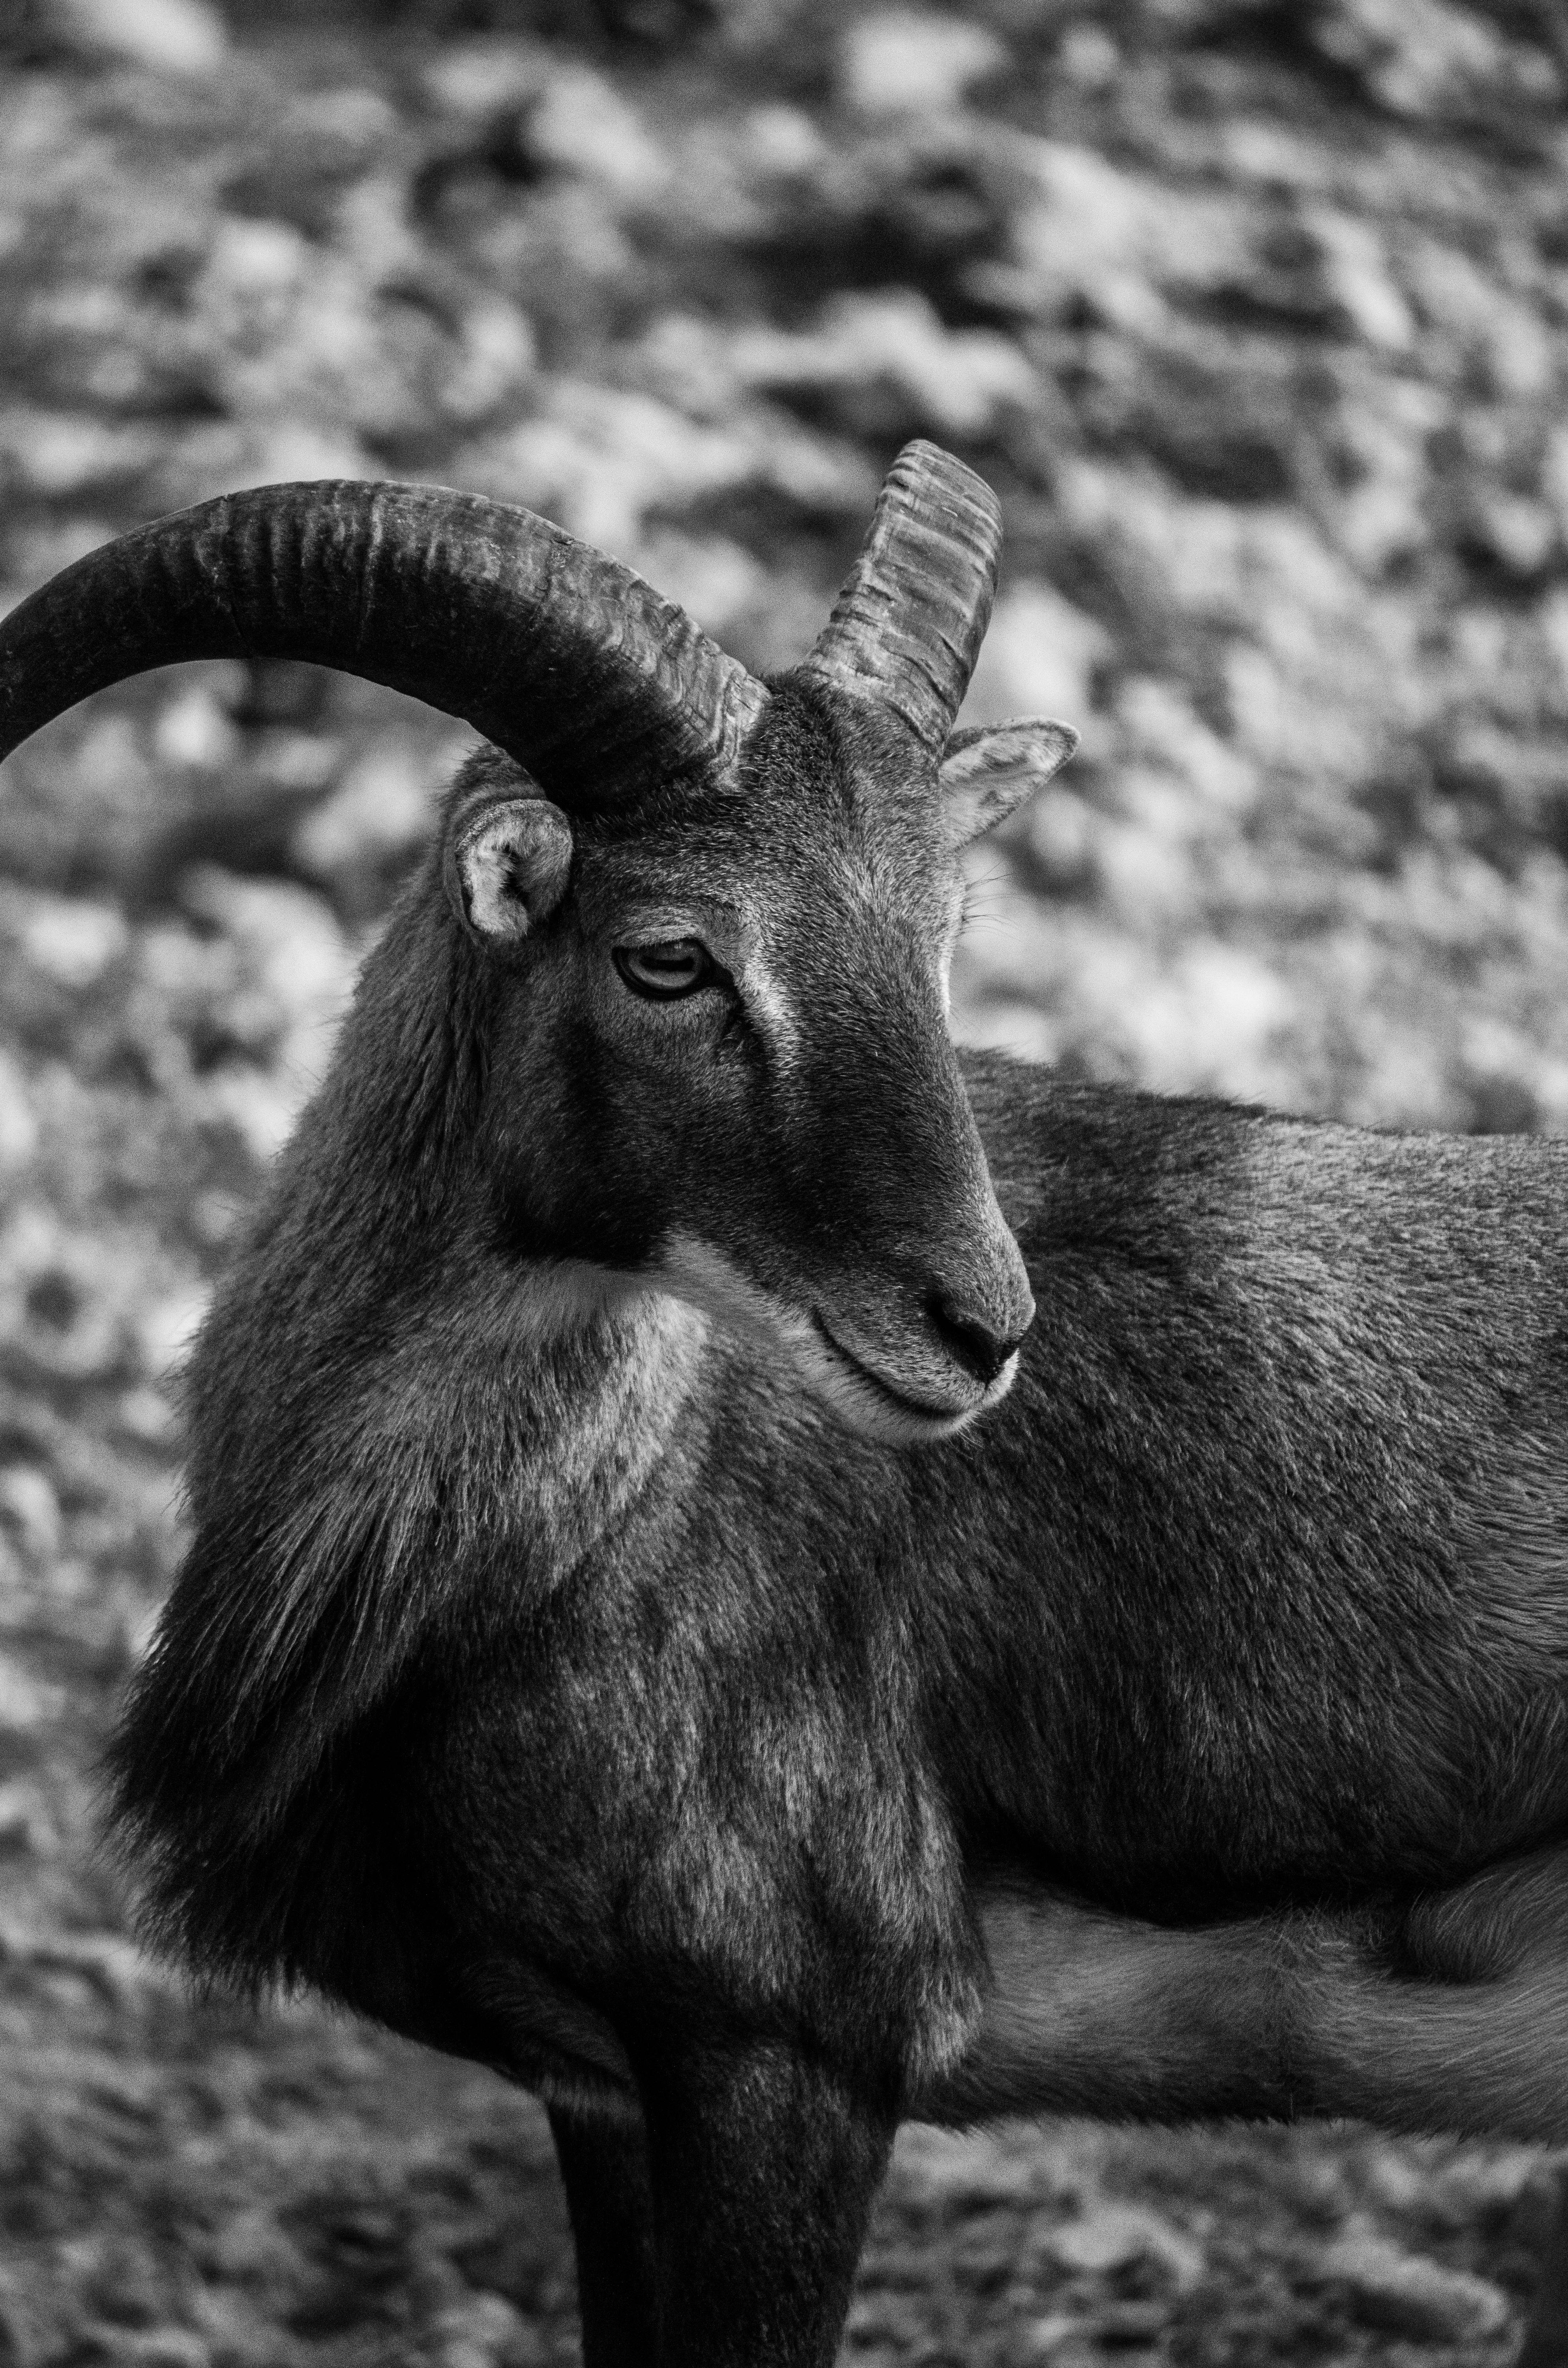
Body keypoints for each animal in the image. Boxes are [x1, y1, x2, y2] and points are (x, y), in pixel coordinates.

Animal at [3, 440, 1568, 2367]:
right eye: (670, 956)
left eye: (941, 938)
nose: (977, 1327)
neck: (539, 1550)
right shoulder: (605, 2092)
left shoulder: (792, 2055)